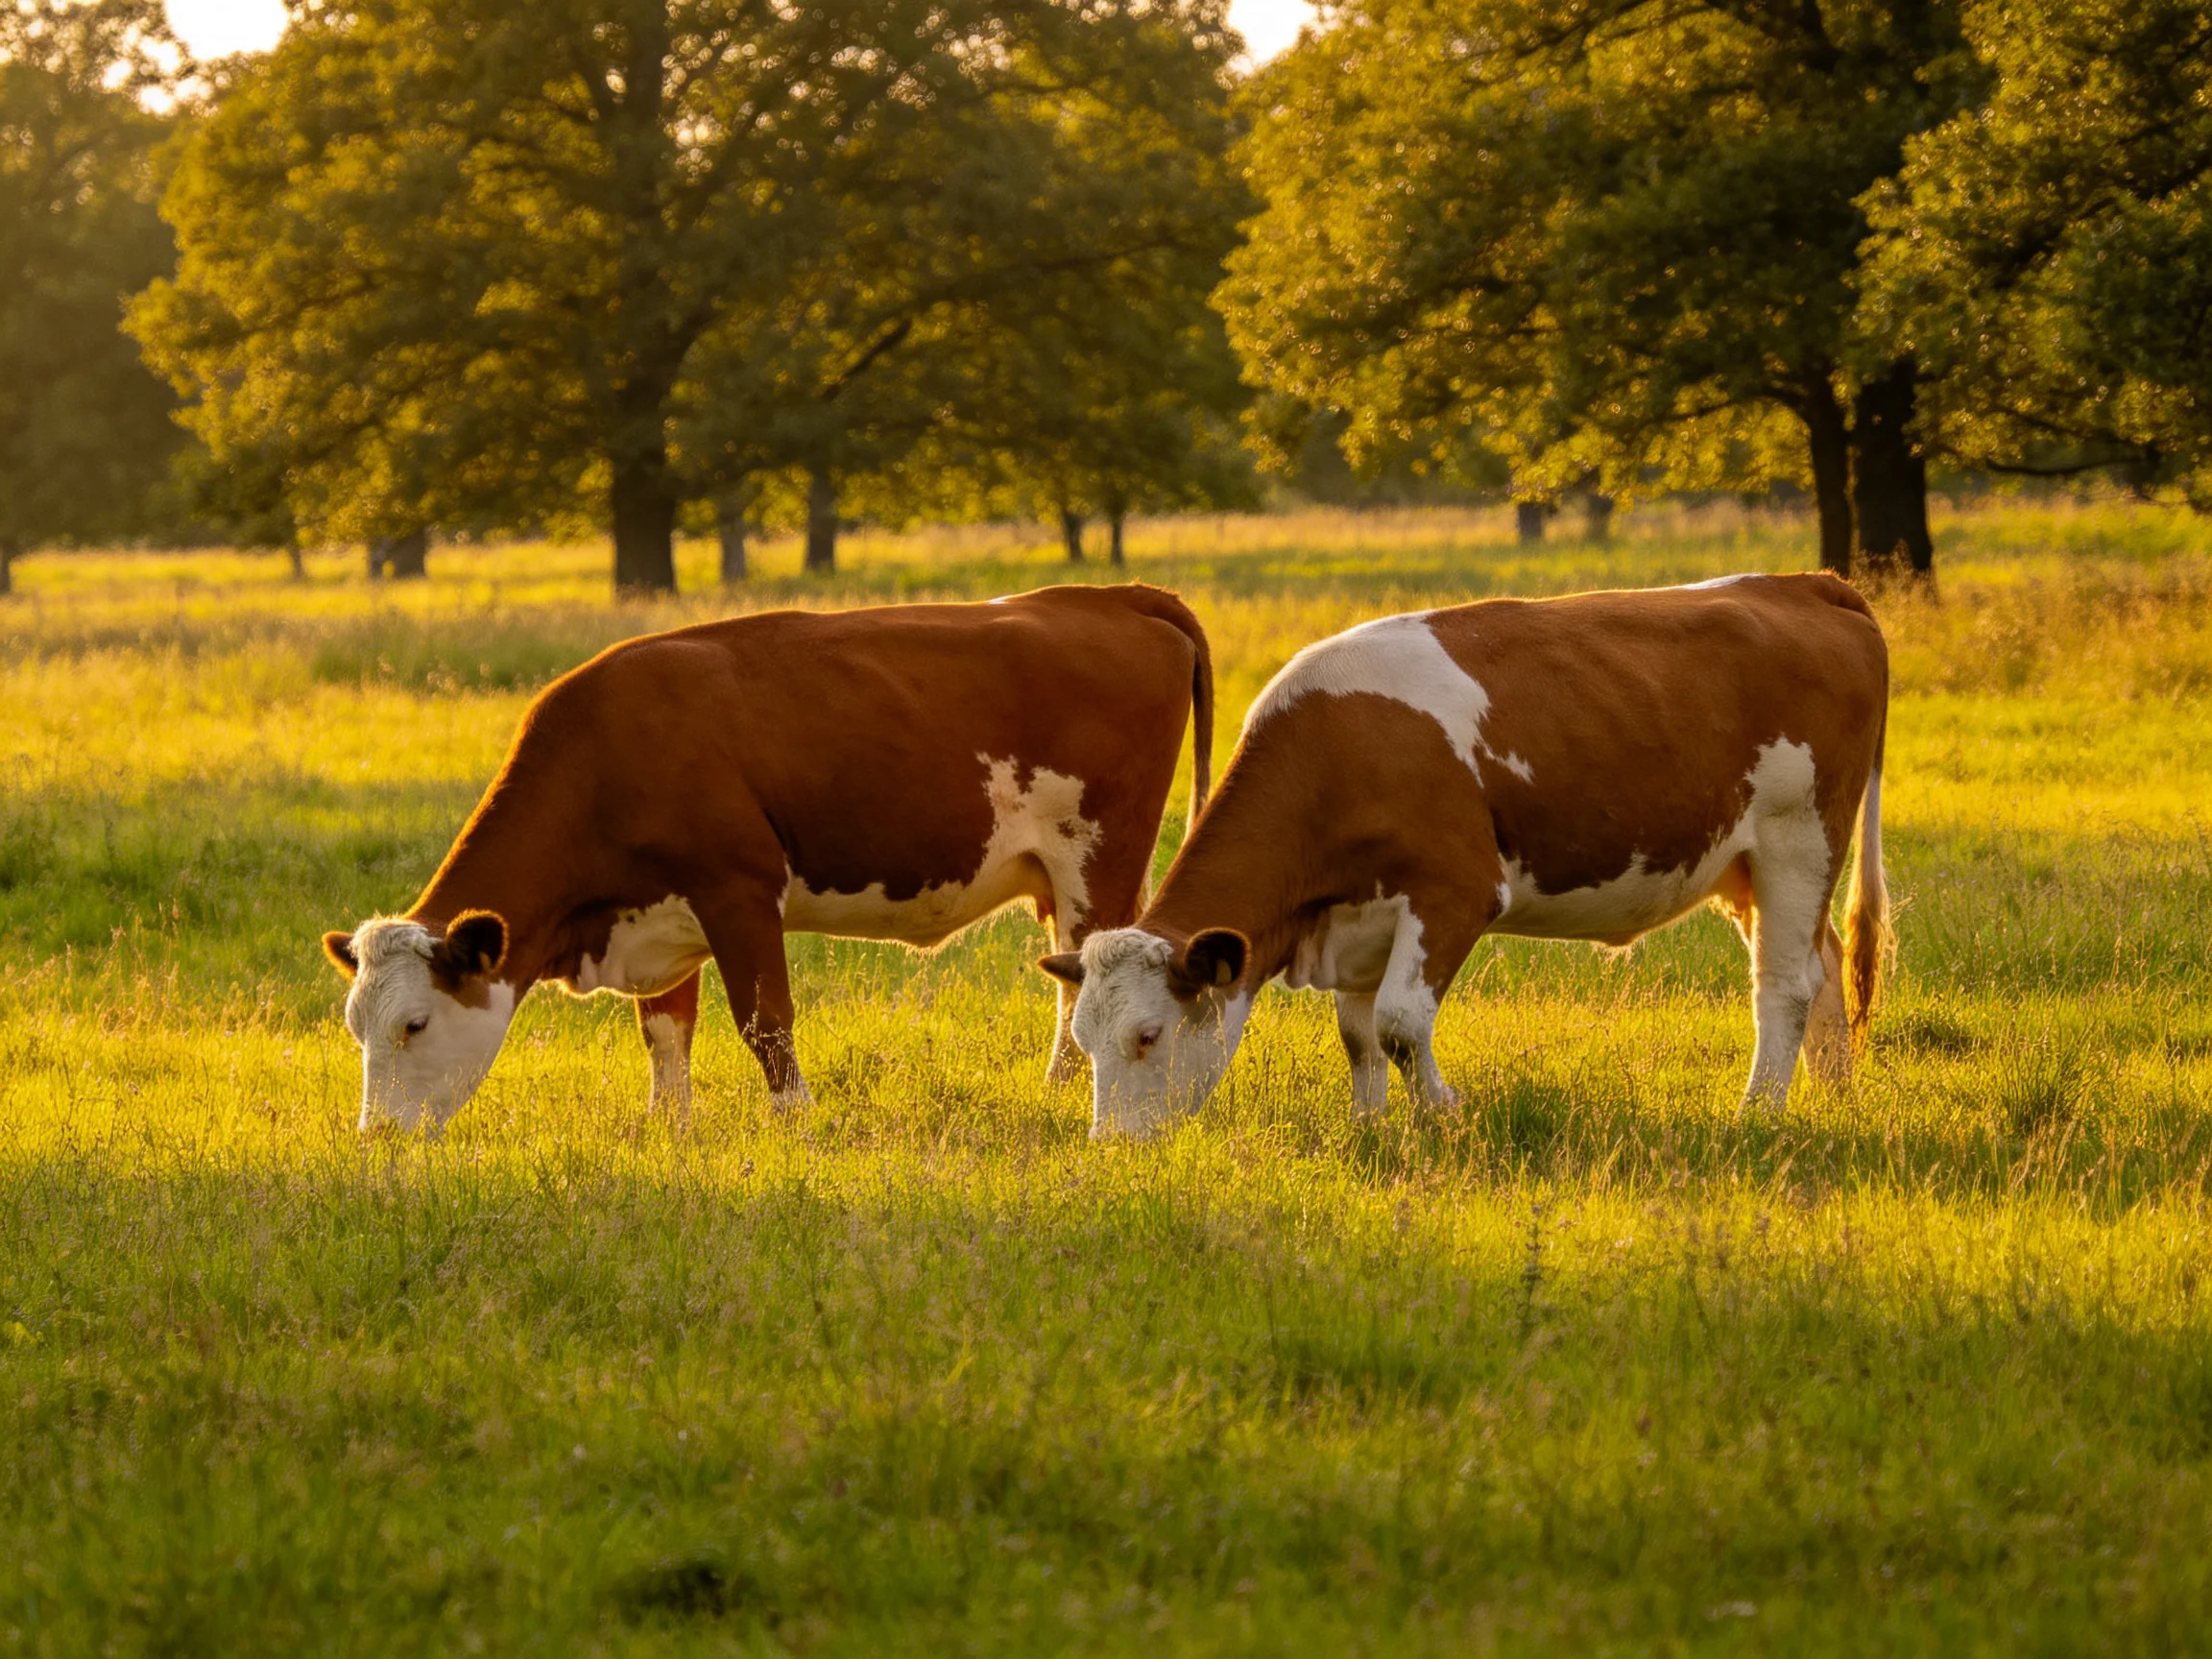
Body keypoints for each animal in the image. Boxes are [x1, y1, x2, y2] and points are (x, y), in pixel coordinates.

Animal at [323, 584, 1212, 1132]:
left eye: (413, 1022)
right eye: (355, 1026)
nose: (378, 1139)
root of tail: (1111, 597)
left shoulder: (738, 891)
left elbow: (764, 1021)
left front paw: (794, 1122)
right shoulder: (658, 915)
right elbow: (664, 1032)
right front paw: (669, 1126)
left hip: (1096, 860)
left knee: (1084, 976)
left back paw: (1064, 1090)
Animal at [1040, 573, 1889, 1139]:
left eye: (1147, 1035)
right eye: (1082, 1040)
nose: (1113, 1149)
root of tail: (1804, 585)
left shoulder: (1454, 890)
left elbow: (1398, 1023)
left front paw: (1443, 1114)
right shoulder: (1357, 920)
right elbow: (1358, 1036)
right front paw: (1370, 1130)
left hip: (1798, 837)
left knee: (1784, 985)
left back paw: (1758, 1114)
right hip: (1744, 865)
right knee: (1823, 966)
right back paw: (1835, 1099)